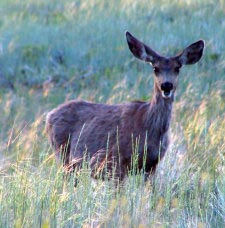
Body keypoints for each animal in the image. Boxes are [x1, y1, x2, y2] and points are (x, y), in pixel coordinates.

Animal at [45, 31, 204, 182]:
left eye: (177, 68)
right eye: (155, 68)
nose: (166, 85)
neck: (149, 126)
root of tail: (49, 115)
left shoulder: (152, 166)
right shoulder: (117, 161)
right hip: (64, 156)